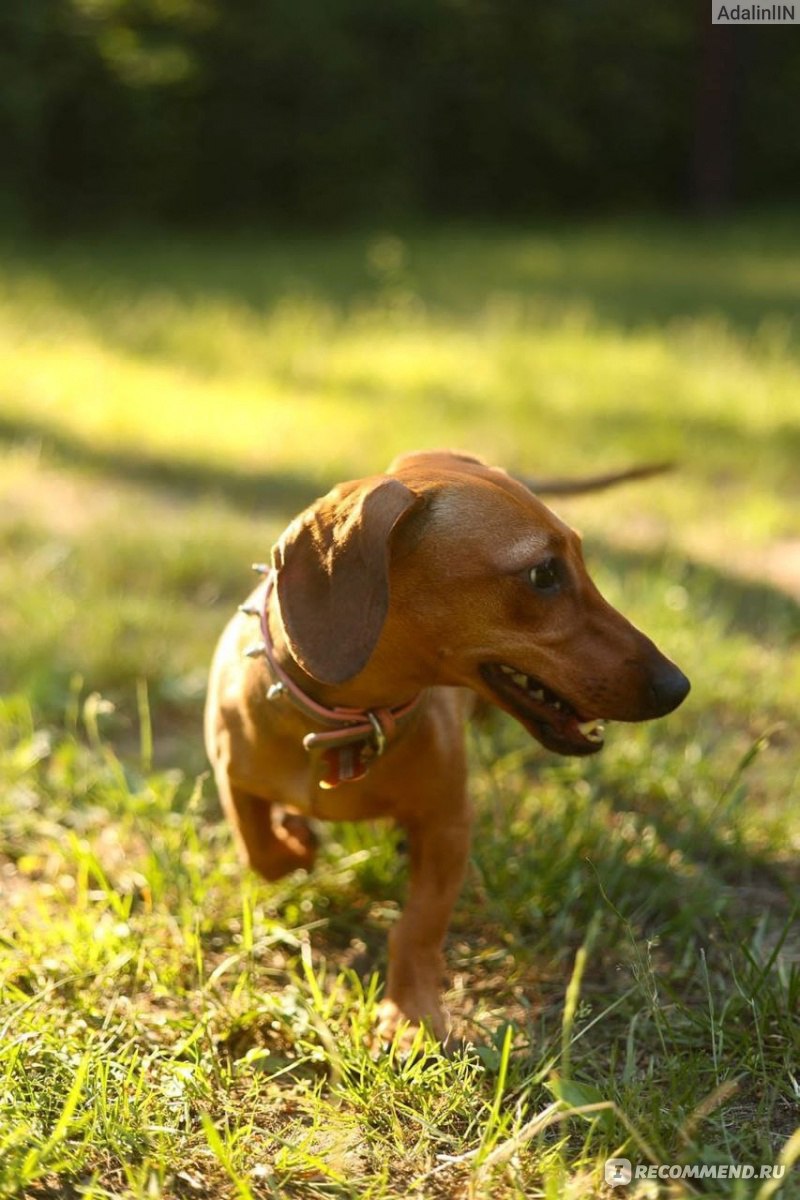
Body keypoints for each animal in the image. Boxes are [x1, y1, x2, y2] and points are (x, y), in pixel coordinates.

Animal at [205, 451, 690, 1041]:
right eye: (543, 574)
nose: (677, 687)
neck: (348, 725)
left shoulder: (448, 824)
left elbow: (417, 926)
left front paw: (411, 1015)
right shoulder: (233, 779)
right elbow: (261, 852)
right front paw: (296, 839)